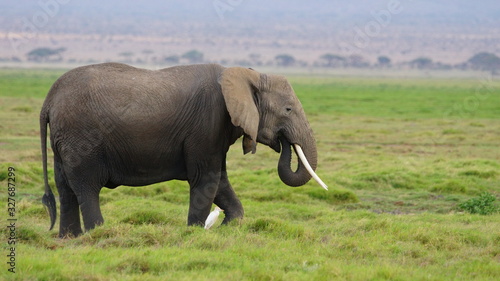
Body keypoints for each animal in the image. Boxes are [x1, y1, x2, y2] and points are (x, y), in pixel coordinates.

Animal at [40, 61, 328, 236]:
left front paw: (229, 226)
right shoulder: (208, 123)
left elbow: (220, 180)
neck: (245, 74)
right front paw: (195, 232)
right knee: (86, 187)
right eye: (288, 109)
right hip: (81, 137)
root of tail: (49, 100)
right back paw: (99, 233)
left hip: (64, 139)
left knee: (65, 188)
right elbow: (207, 179)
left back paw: (70, 239)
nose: (283, 143)